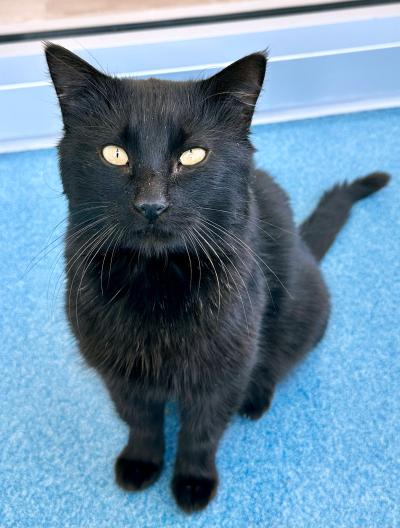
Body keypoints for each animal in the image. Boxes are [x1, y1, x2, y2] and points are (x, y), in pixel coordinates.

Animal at [45, 43, 390, 512]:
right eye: (114, 154)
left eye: (192, 156)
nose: (151, 204)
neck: (157, 282)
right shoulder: (119, 371)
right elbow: (141, 421)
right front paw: (141, 463)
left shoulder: (222, 370)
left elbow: (201, 433)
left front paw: (193, 482)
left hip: (301, 311)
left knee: (276, 361)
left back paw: (256, 397)